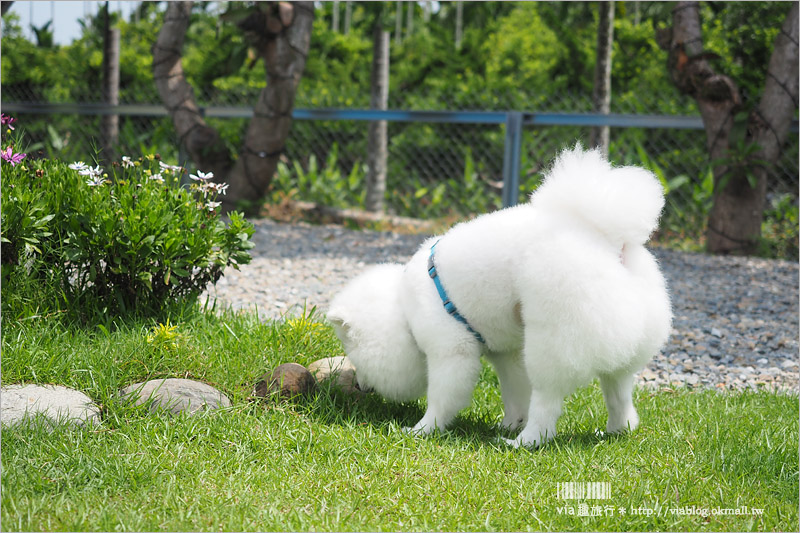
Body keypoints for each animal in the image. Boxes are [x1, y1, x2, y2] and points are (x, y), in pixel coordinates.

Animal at [324, 144, 668, 444]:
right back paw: (614, 431)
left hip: (552, 341)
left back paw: (525, 441)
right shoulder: (508, 355)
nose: (360, 386)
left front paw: (423, 429)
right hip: (620, 346)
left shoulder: (452, 350)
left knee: (547, 401)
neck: (404, 308)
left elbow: (442, 398)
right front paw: (510, 422)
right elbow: (515, 392)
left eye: (354, 354)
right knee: (618, 394)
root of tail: (606, 239)